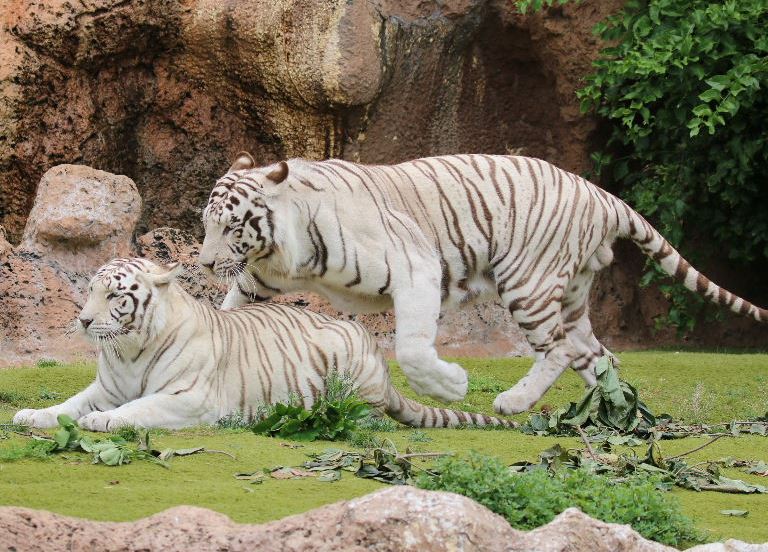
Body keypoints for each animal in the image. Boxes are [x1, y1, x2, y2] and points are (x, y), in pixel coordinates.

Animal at [10, 258, 510, 432]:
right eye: (91, 291)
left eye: (115, 295)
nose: (83, 320)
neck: (129, 350)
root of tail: (383, 371)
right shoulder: (104, 388)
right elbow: (68, 405)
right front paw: (31, 415)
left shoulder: (189, 398)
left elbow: (138, 408)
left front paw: (103, 422)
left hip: (351, 370)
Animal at [200, 152, 768, 414]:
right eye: (206, 224)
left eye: (230, 227)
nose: (203, 264)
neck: (285, 247)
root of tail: (601, 193)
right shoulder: (258, 280)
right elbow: (229, 313)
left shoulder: (417, 266)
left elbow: (411, 348)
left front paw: (452, 386)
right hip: (572, 296)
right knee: (598, 356)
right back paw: (612, 413)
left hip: (529, 283)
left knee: (559, 351)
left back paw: (514, 402)